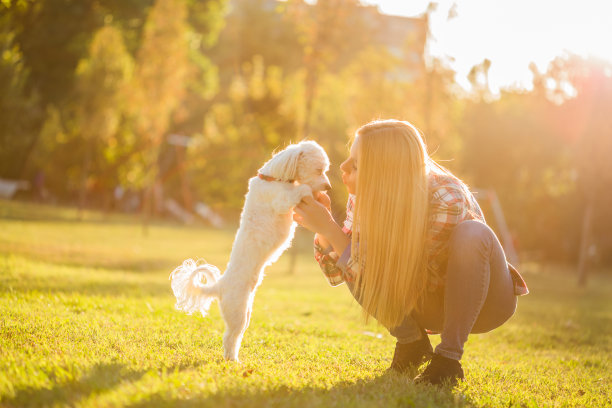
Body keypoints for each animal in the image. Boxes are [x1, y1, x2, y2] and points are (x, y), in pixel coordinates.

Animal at [167, 140, 330, 360]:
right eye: (319, 170)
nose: (329, 186)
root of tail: (220, 286)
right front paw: (313, 192)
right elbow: (301, 190)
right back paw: (232, 361)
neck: (273, 178)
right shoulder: (282, 200)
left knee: (236, 336)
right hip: (236, 312)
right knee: (229, 337)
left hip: (245, 314)